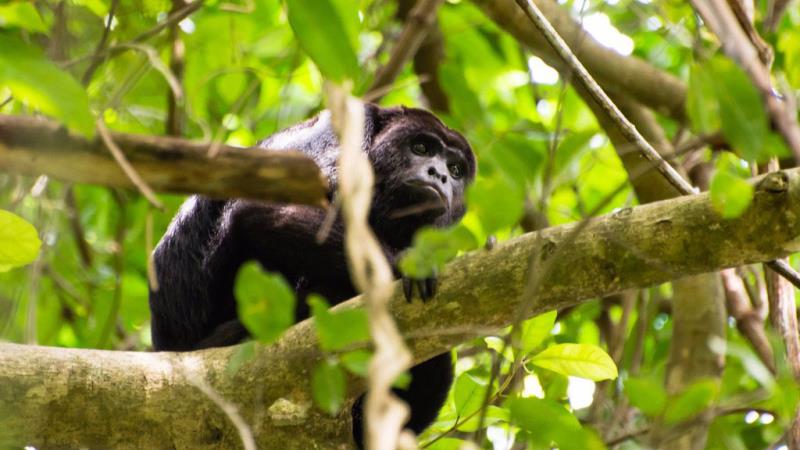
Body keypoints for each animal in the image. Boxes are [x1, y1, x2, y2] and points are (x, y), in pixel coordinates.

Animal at [148, 104, 476, 446]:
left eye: (455, 169)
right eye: (421, 148)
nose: (439, 175)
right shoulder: (343, 129)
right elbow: (261, 208)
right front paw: (403, 266)